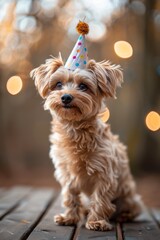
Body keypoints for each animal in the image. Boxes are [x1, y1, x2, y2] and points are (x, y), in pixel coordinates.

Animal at [30, 55, 142, 232]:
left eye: (83, 86)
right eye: (58, 84)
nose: (66, 97)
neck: (75, 129)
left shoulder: (104, 174)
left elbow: (100, 199)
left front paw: (96, 221)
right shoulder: (67, 173)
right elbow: (70, 196)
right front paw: (69, 218)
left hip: (129, 197)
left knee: (131, 209)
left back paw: (124, 215)